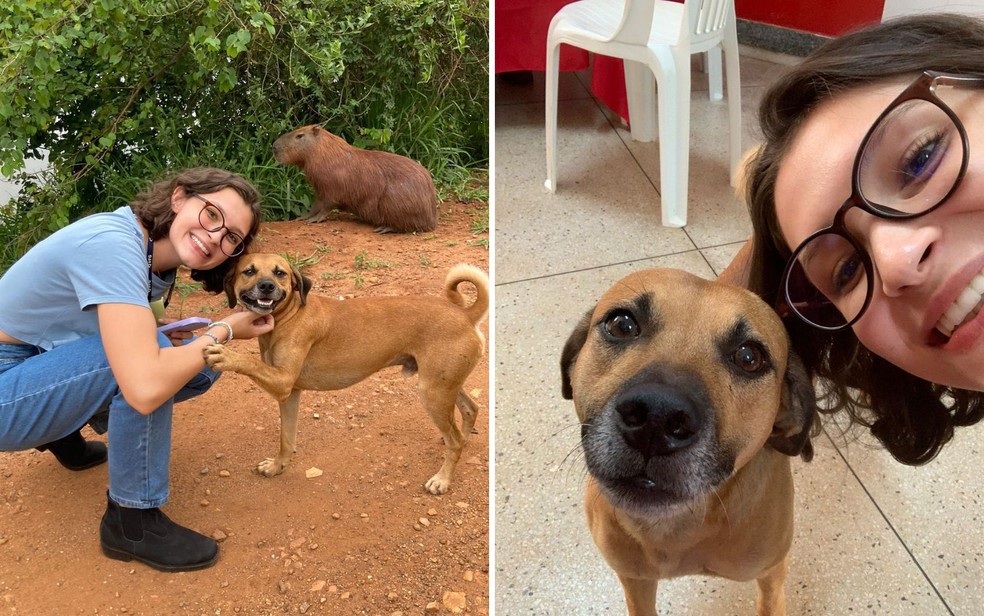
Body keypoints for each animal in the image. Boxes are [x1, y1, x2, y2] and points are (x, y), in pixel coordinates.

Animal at [204, 253, 488, 494]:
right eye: (249, 271)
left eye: (280, 273)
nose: (266, 286)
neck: (289, 315)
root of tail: (464, 314)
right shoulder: (290, 393)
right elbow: (286, 439)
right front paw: (277, 467)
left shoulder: (282, 381)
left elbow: (249, 362)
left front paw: (227, 356)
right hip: (443, 385)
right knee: (469, 411)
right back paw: (462, 440)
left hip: (433, 393)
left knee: (454, 440)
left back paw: (443, 479)